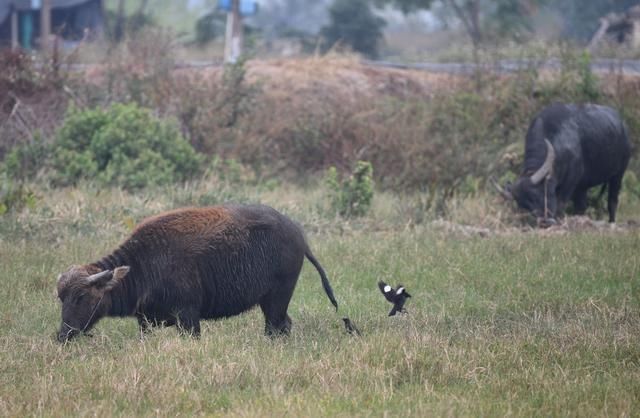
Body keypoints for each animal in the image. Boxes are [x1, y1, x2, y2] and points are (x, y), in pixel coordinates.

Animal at [55, 204, 338, 342]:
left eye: (82, 296)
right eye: (61, 298)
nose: (62, 335)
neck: (143, 263)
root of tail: (297, 234)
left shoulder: (188, 316)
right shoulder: (146, 321)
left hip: (276, 300)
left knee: (277, 327)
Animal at [500, 102, 632, 224]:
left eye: (536, 195)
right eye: (524, 206)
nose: (544, 221)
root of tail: (622, 125)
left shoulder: (571, 182)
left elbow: (560, 204)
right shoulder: (577, 185)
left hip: (618, 174)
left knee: (612, 201)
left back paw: (612, 222)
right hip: (583, 186)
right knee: (581, 206)